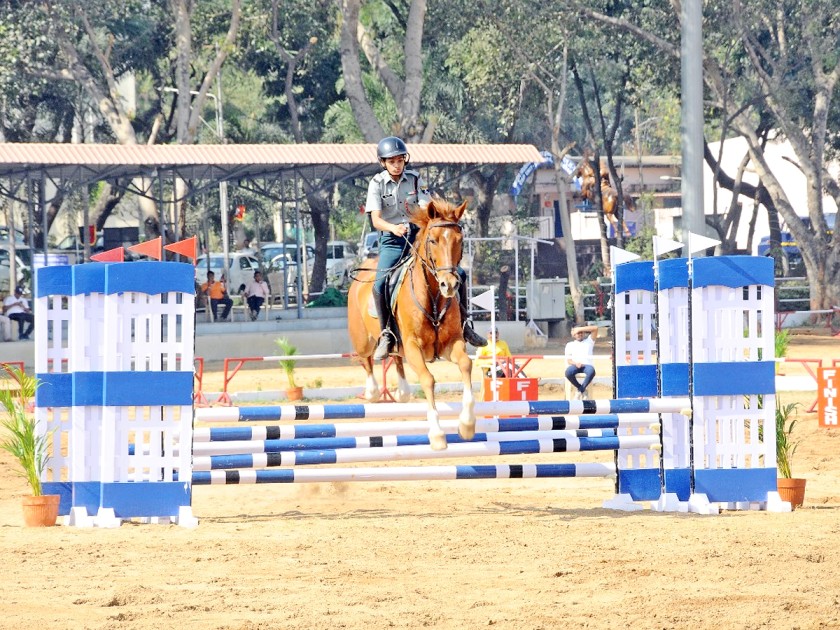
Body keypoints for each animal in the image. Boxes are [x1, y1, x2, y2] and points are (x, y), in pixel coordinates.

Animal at [346, 200, 476, 452]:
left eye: (460, 239)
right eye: (433, 240)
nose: (449, 285)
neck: (433, 298)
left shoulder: (452, 342)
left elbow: (466, 364)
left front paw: (466, 424)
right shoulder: (414, 346)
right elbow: (428, 379)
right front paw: (437, 434)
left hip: (398, 346)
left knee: (396, 357)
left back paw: (403, 391)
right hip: (363, 340)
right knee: (366, 360)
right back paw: (372, 391)